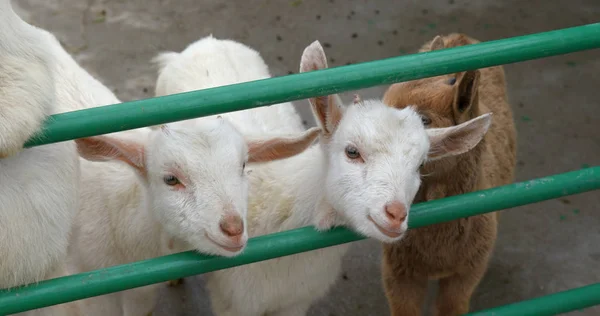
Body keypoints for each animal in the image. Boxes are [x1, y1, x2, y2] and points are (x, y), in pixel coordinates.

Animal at [151, 37, 492, 316]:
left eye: (421, 165)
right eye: (352, 151)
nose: (395, 215)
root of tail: (206, 43)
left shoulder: (295, 301)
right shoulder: (234, 302)